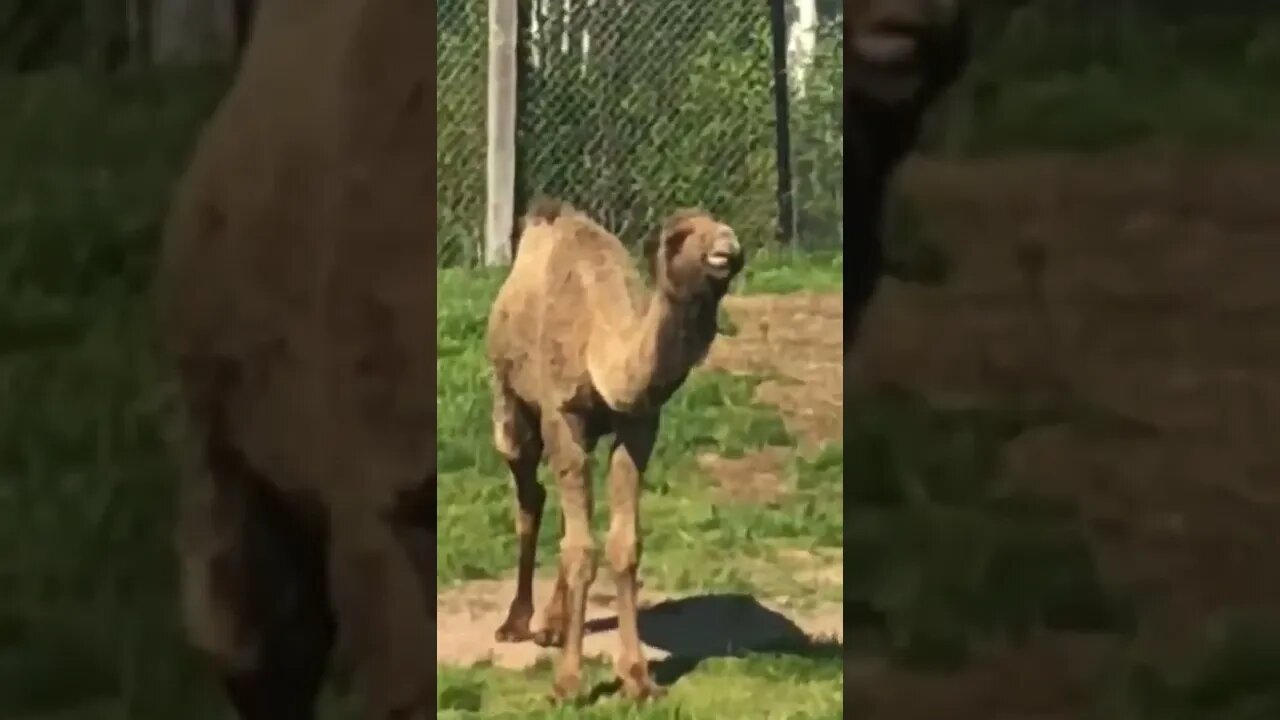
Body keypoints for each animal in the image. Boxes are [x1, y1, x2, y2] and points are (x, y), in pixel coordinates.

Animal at [485, 200, 745, 701]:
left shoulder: (639, 426)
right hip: (510, 400)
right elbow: (582, 551)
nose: (727, 248)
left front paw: (638, 679)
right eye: (678, 236)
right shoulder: (563, 417)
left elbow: (623, 545)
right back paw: (515, 623)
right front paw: (568, 683)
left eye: (723, 228)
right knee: (529, 494)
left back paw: (552, 624)